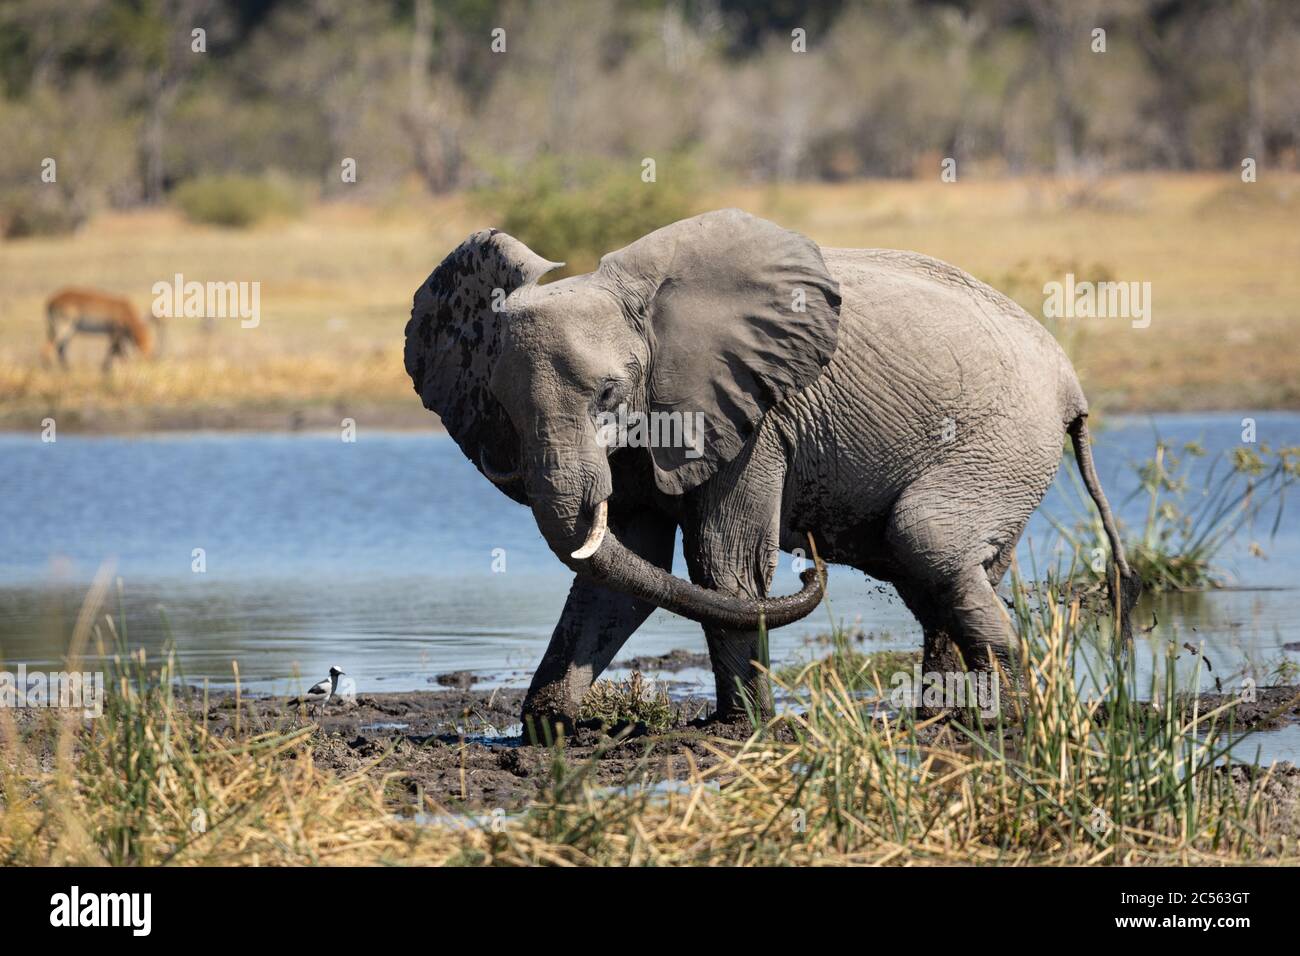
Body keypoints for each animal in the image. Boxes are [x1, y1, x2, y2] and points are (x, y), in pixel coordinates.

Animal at [403, 209, 1138, 738]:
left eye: (609, 395)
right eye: (501, 406)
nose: (812, 570)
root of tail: (1071, 384)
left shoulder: (753, 414)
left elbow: (720, 563)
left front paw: (744, 729)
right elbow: (628, 569)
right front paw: (549, 731)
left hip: (1002, 442)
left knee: (926, 541)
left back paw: (1001, 718)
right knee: (938, 571)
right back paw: (941, 717)